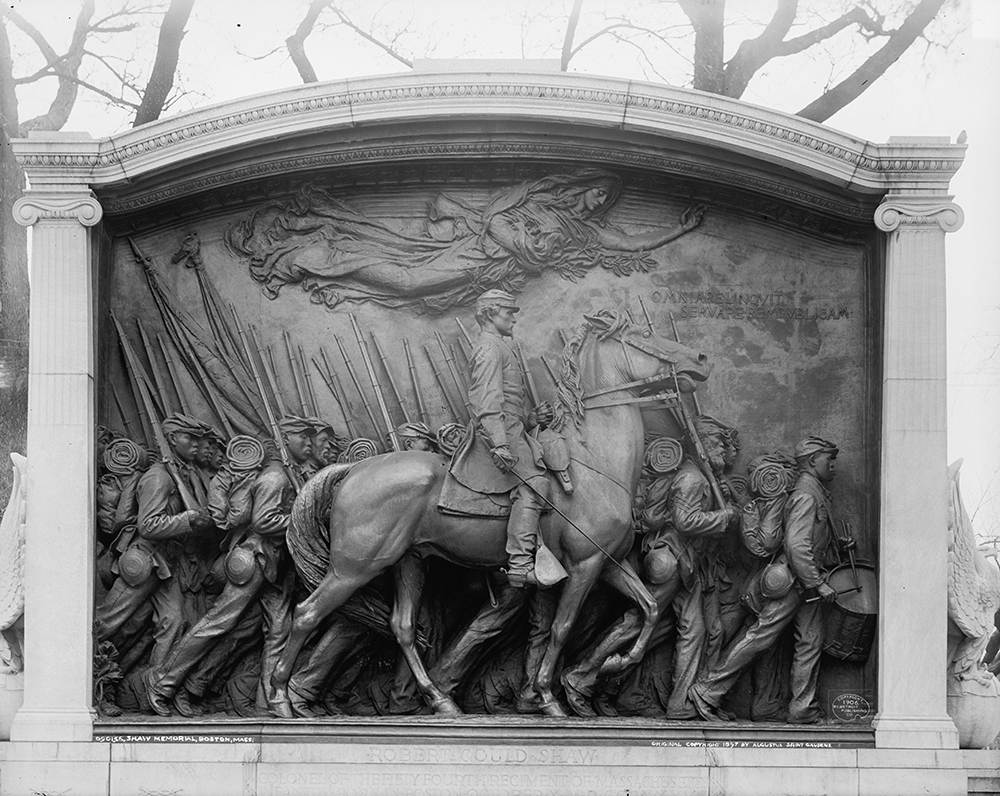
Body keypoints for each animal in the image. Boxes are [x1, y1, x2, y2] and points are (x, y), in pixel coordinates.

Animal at [270, 310, 716, 716]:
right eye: (643, 334)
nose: (700, 358)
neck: (594, 462)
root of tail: (354, 469)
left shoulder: (608, 561)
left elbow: (649, 608)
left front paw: (613, 664)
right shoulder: (584, 564)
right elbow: (561, 630)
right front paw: (549, 697)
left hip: (409, 561)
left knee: (402, 626)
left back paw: (440, 701)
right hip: (354, 567)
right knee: (306, 615)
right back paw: (281, 699)